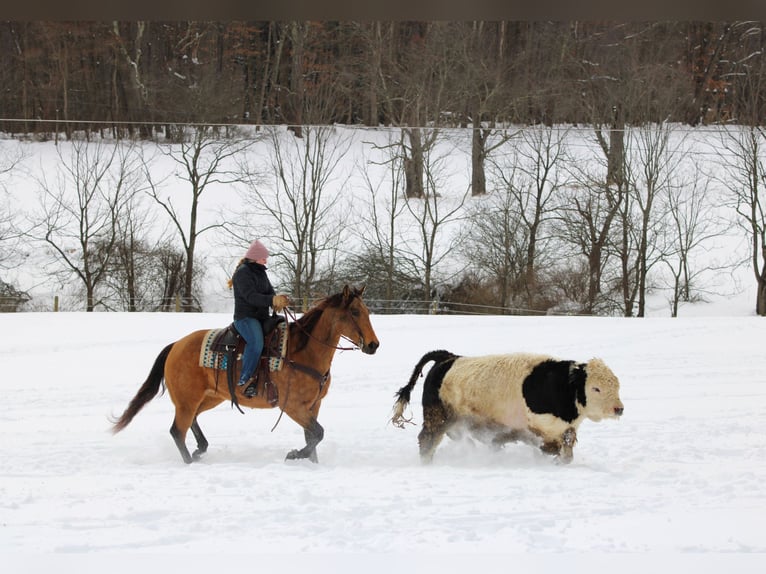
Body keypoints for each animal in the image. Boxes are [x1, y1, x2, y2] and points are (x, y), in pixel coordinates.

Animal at [111, 285, 379, 464]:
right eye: (355, 312)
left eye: (366, 310)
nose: (373, 345)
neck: (303, 351)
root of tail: (176, 345)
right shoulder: (292, 406)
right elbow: (317, 434)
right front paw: (293, 455)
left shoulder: (313, 406)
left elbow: (312, 437)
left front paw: (310, 462)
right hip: (188, 399)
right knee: (177, 430)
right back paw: (190, 460)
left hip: (209, 397)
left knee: (191, 422)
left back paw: (200, 449)